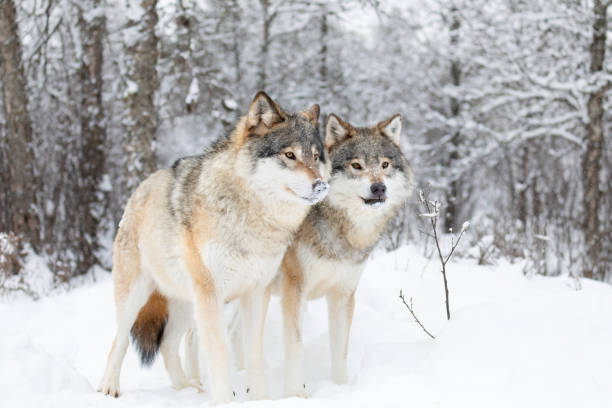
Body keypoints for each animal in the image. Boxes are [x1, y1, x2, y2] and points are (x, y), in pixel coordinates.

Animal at [98, 91, 330, 404]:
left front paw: (260, 399)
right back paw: (109, 388)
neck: (252, 218)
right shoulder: (211, 294)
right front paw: (224, 401)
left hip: (188, 304)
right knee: (119, 340)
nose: (321, 186)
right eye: (290, 155)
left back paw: (188, 389)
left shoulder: (256, 292)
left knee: (169, 344)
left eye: (316, 157)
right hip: (137, 297)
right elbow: (218, 352)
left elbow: (253, 354)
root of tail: (140, 187)